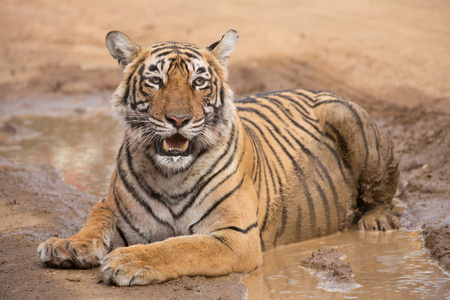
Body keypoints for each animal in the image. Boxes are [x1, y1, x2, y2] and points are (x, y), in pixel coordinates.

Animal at [37, 30, 400, 286]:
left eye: (199, 82)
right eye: (155, 80)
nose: (178, 119)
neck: (170, 174)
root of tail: (311, 88)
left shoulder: (235, 236)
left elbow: (179, 246)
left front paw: (128, 261)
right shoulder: (111, 206)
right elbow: (94, 221)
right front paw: (66, 245)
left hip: (352, 126)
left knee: (382, 194)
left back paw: (377, 221)